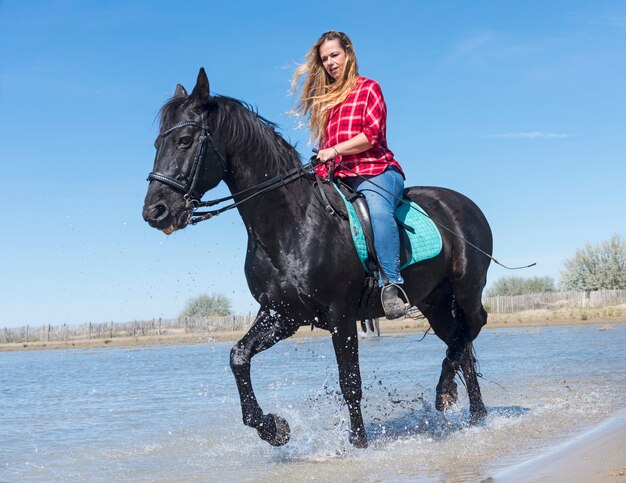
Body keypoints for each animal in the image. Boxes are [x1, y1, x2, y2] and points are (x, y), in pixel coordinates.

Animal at [141, 69, 492, 450]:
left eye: (185, 140)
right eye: (158, 145)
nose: (155, 212)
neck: (291, 224)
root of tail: (464, 204)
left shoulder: (341, 314)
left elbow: (350, 382)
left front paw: (358, 443)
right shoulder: (282, 315)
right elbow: (238, 357)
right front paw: (273, 428)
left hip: (466, 289)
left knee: (473, 325)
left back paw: (446, 393)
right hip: (434, 301)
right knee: (461, 345)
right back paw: (473, 412)